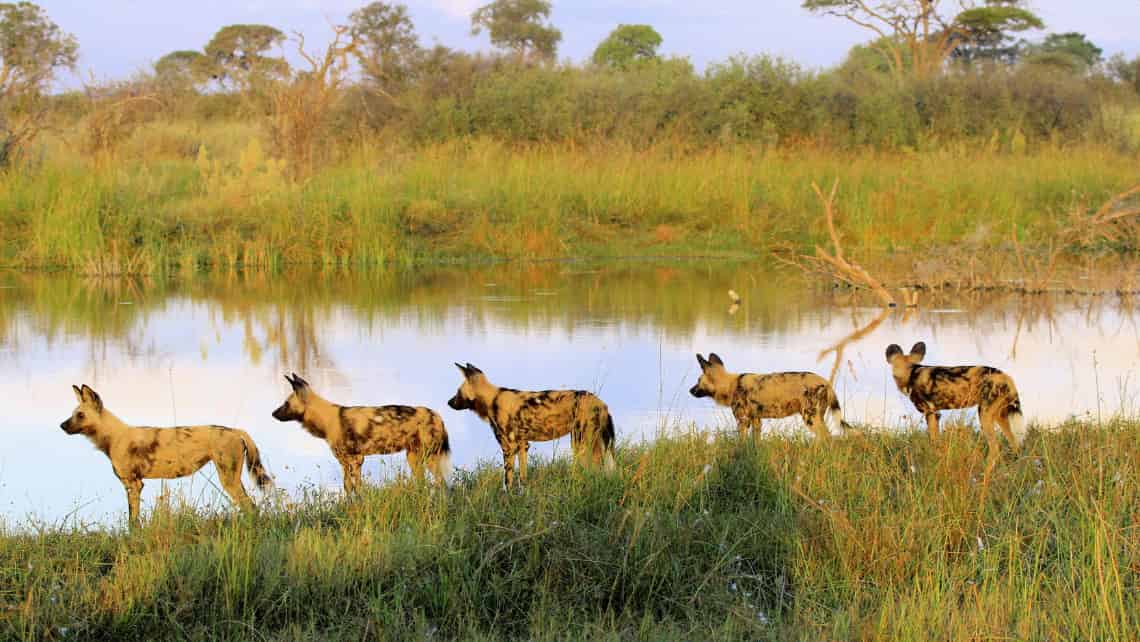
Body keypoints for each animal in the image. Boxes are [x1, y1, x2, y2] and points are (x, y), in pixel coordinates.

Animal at [60, 387, 271, 526]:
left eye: (80, 415)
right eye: (73, 414)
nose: (61, 425)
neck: (113, 437)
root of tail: (235, 431)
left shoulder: (133, 485)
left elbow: (132, 522)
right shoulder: (133, 485)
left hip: (228, 480)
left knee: (251, 508)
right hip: (234, 480)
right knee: (252, 508)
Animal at [273, 371, 451, 492]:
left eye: (286, 404)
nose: (273, 413)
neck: (326, 419)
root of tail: (437, 415)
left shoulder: (355, 460)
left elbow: (357, 488)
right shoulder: (346, 462)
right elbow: (349, 487)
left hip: (428, 457)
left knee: (441, 483)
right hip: (414, 458)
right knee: (427, 482)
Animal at [449, 364, 620, 490]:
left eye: (458, 392)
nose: (448, 402)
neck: (492, 400)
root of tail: (601, 403)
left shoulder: (508, 448)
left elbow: (507, 482)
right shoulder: (523, 446)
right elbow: (522, 478)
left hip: (582, 444)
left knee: (595, 469)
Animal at [684, 351, 848, 442]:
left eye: (698, 381)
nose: (690, 391)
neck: (730, 385)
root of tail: (825, 382)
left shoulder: (743, 421)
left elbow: (740, 444)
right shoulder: (756, 420)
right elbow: (756, 444)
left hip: (810, 418)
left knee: (827, 439)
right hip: (817, 417)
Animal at [880, 342, 1026, 467]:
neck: (911, 372)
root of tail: (1006, 377)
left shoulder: (930, 413)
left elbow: (934, 442)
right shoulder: (936, 414)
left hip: (984, 415)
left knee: (995, 448)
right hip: (1000, 416)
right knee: (1015, 444)